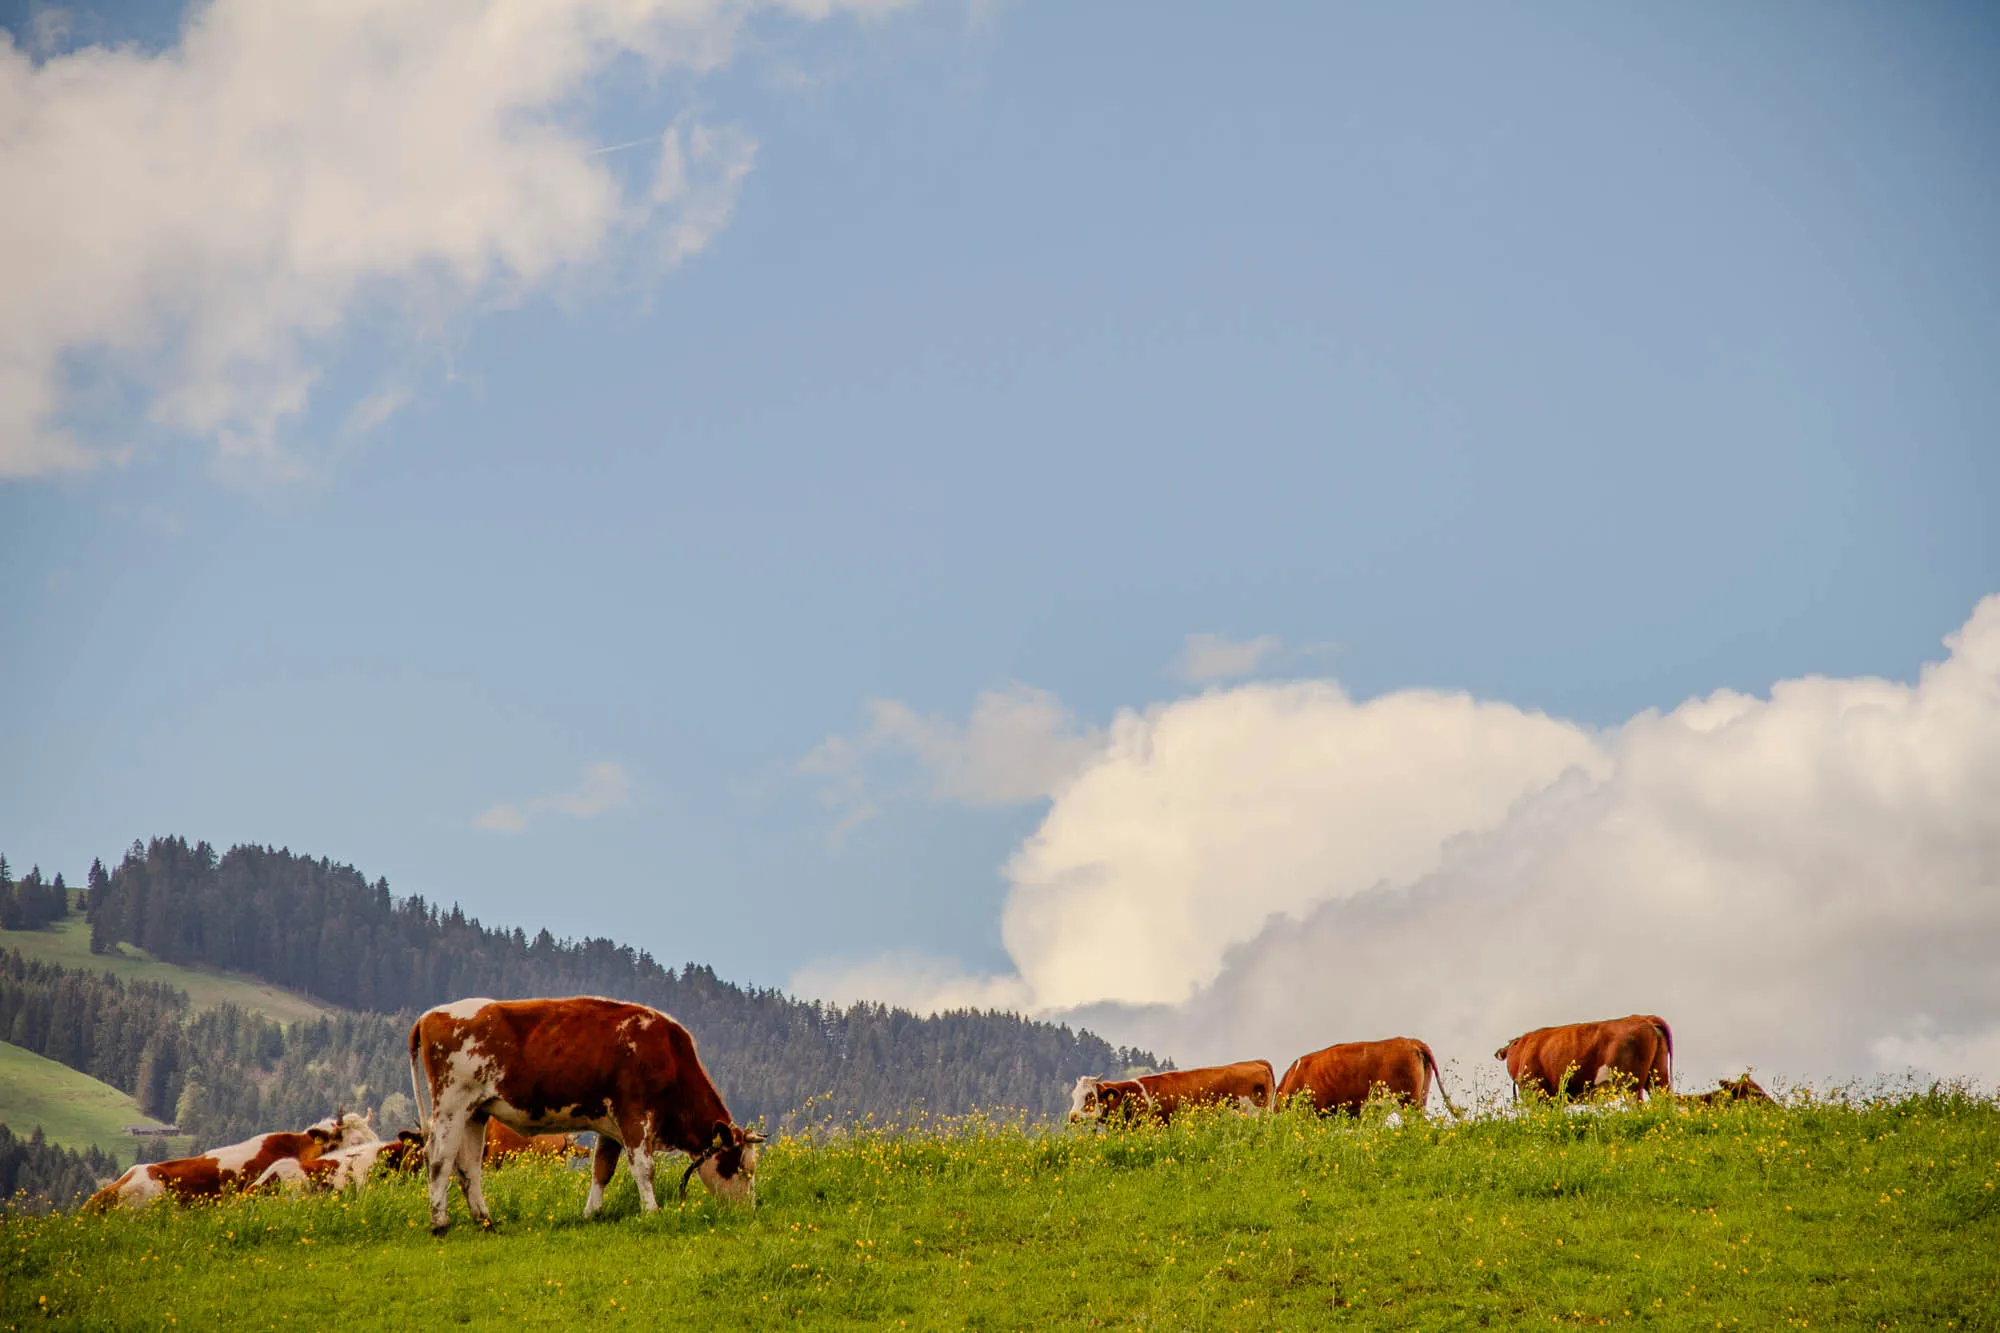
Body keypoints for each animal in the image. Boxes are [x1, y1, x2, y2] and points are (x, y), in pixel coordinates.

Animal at [408, 992, 764, 1232]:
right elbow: (644, 1169)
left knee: (468, 1166)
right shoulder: (635, 1115)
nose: (748, 1210)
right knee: (439, 1160)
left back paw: (485, 1221)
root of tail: (430, 1015)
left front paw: (591, 1213)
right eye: (741, 1166)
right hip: (451, 1106)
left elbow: (602, 1169)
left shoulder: (612, 1127)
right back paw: (440, 1223)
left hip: (475, 1113)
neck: (666, 1053)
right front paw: (652, 1211)